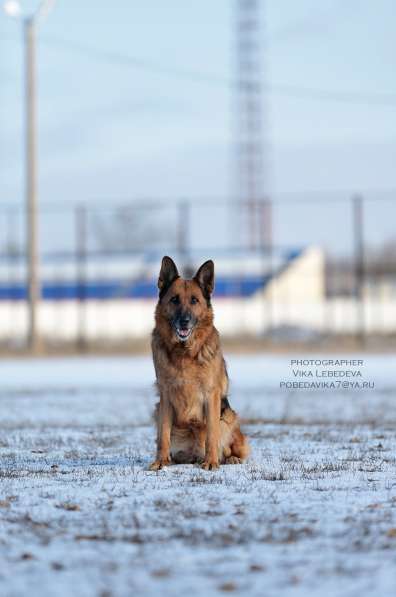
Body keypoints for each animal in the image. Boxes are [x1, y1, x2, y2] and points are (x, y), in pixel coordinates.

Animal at [150, 256, 249, 470]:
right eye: (174, 299)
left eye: (194, 300)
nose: (184, 321)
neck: (185, 353)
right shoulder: (165, 396)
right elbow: (163, 435)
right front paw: (161, 461)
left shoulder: (211, 396)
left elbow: (212, 435)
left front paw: (211, 462)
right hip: (157, 410)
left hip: (228, 416)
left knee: (228, 447)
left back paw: (228, 458)